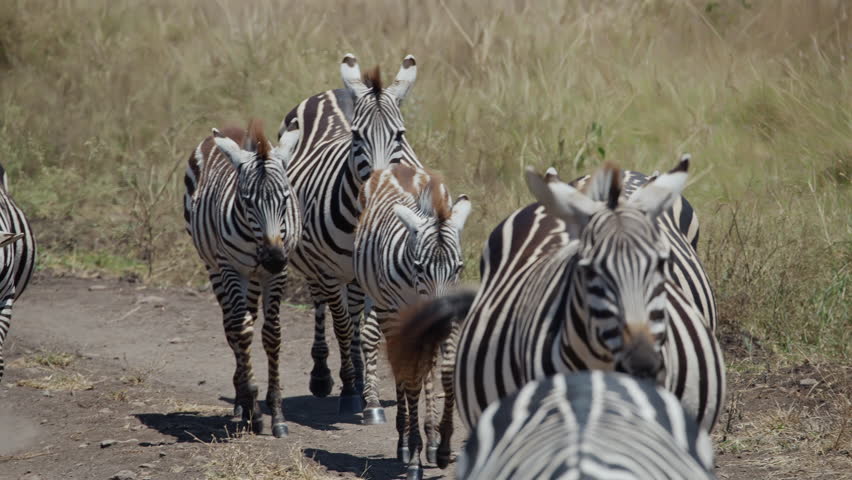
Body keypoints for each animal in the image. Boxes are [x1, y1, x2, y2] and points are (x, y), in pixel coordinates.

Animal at [183, 119, 302, 437]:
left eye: (285, 198)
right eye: (247, 201)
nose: (273, 258)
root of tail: (229, 128)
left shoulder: (277, 273)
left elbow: (272, 334)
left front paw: (277, 414)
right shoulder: (231, 267)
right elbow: (242, 331)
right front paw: (254, 406)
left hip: (253, 277)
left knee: (245, 319)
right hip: (215, 267)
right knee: (233, 326)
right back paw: (243, 402)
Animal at [277, 53, 421, 413]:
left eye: (399, 134)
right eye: (356, 136)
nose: (379, 185)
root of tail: (338, 90)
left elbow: (366, 331)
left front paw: (368, 395)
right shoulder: (328, 270)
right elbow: (342, 326)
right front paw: (351, 391)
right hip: (315, 263)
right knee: (323, 306)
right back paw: (325, 376)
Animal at [353, 164, 470, 480]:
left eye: (459, 267)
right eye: (419, 267)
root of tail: (394, 166)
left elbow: (445, 371)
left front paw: (442, 446)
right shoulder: (398, 316)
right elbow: (410, 380)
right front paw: (414, 457)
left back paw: (430, 440)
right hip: (383, 308)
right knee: (403, 370)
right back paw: (405, 444)